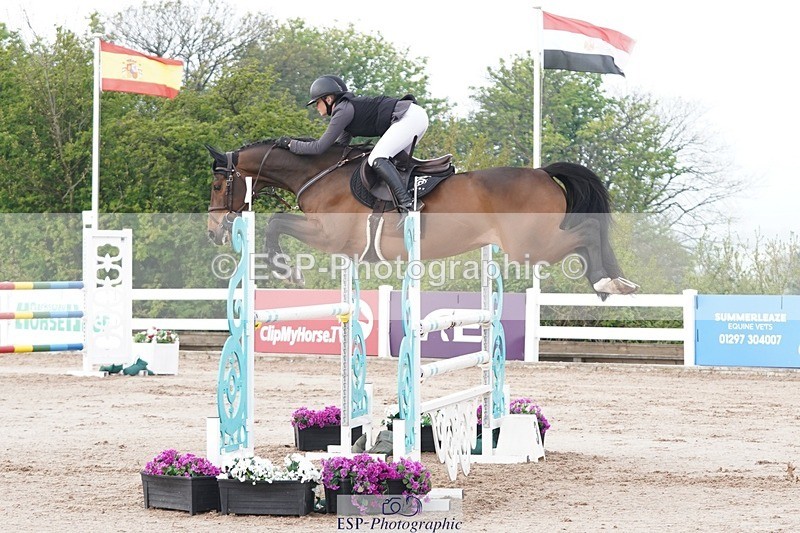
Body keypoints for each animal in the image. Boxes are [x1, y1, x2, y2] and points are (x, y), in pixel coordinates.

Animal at [206, 139, 639, 297]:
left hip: (530, 246)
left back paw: (608, 281)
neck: (320, 173)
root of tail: (543, 172)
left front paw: (287, 272)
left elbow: (276, 223)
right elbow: (277, 223)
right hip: (534, 243)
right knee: (587, 232)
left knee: (587, 230)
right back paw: (611, 282)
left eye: (216, 184)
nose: (213, 232)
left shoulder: (329, 235)